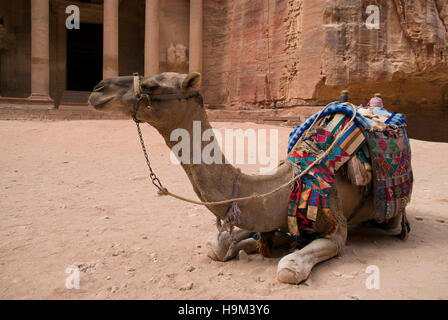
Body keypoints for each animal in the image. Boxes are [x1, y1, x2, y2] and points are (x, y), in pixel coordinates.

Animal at [88, 72, 406, 284]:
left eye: (151, 85)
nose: (97, 89)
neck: (287, 184)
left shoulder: (336, 227)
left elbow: (289, 269)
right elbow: (216, 246)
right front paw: (255, 244)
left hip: (390, 214)